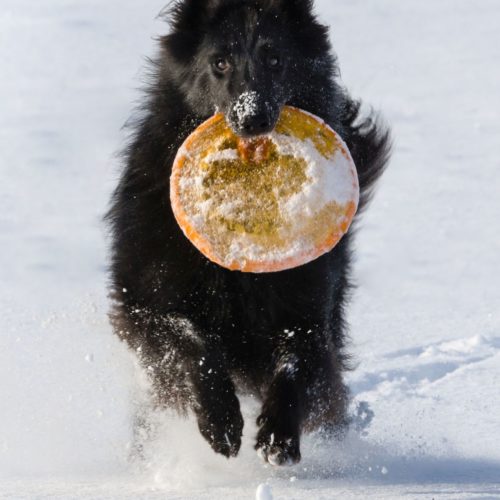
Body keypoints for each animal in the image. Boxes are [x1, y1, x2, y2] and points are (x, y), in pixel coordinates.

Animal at [106, 0, 390, 466]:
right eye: (219, 62)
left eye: (275, 59)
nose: (250, 117)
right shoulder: (147, 306)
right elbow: (194, 346)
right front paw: (221, 421)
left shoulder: (305, 309)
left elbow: (295, 360)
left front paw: (279, 434)